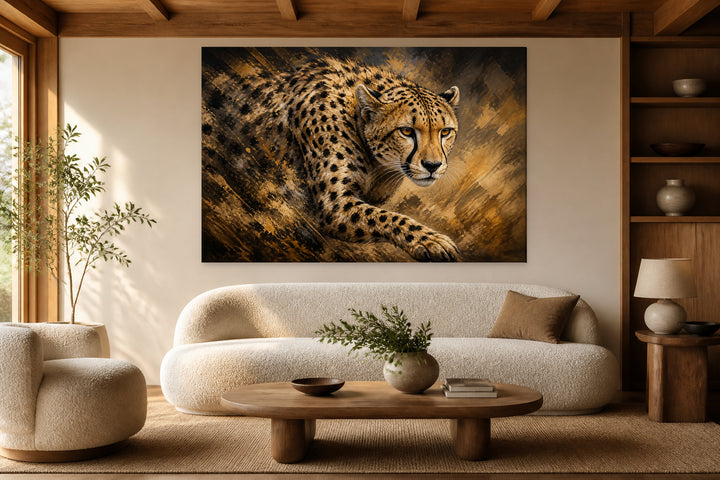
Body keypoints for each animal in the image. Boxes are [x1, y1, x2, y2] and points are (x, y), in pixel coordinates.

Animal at [202, 51, 461, 262]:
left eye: (445, 132)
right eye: (406, 131)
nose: (433, 165)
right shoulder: (334, 205)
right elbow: (389, 218)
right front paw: (431, 240)